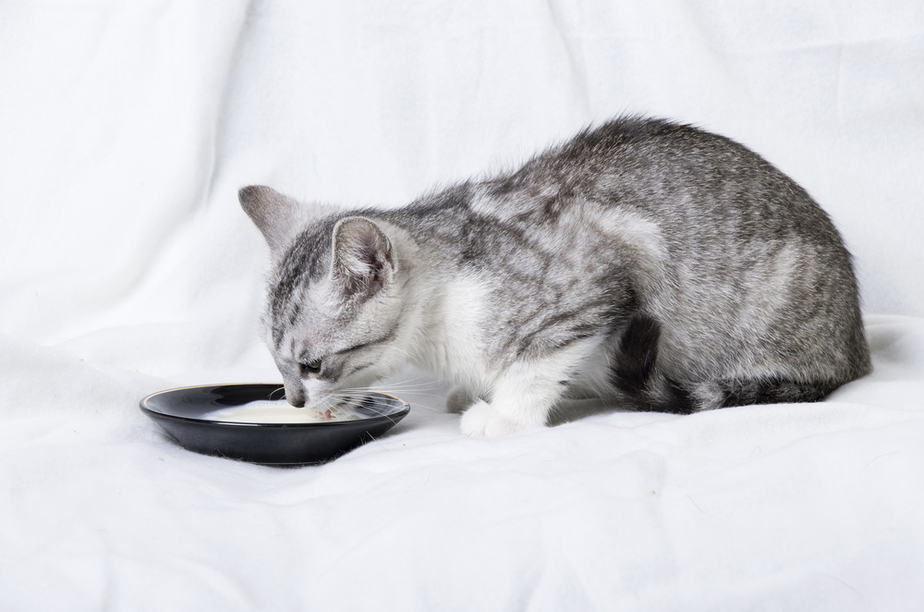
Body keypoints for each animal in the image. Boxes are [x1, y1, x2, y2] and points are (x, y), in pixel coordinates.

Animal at [238, 117, 868, 438]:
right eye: (277, 362)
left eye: (311, 365)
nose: (293, 400)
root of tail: (856, 346)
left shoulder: (604, 273)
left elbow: (538, 362)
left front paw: (504, 413)